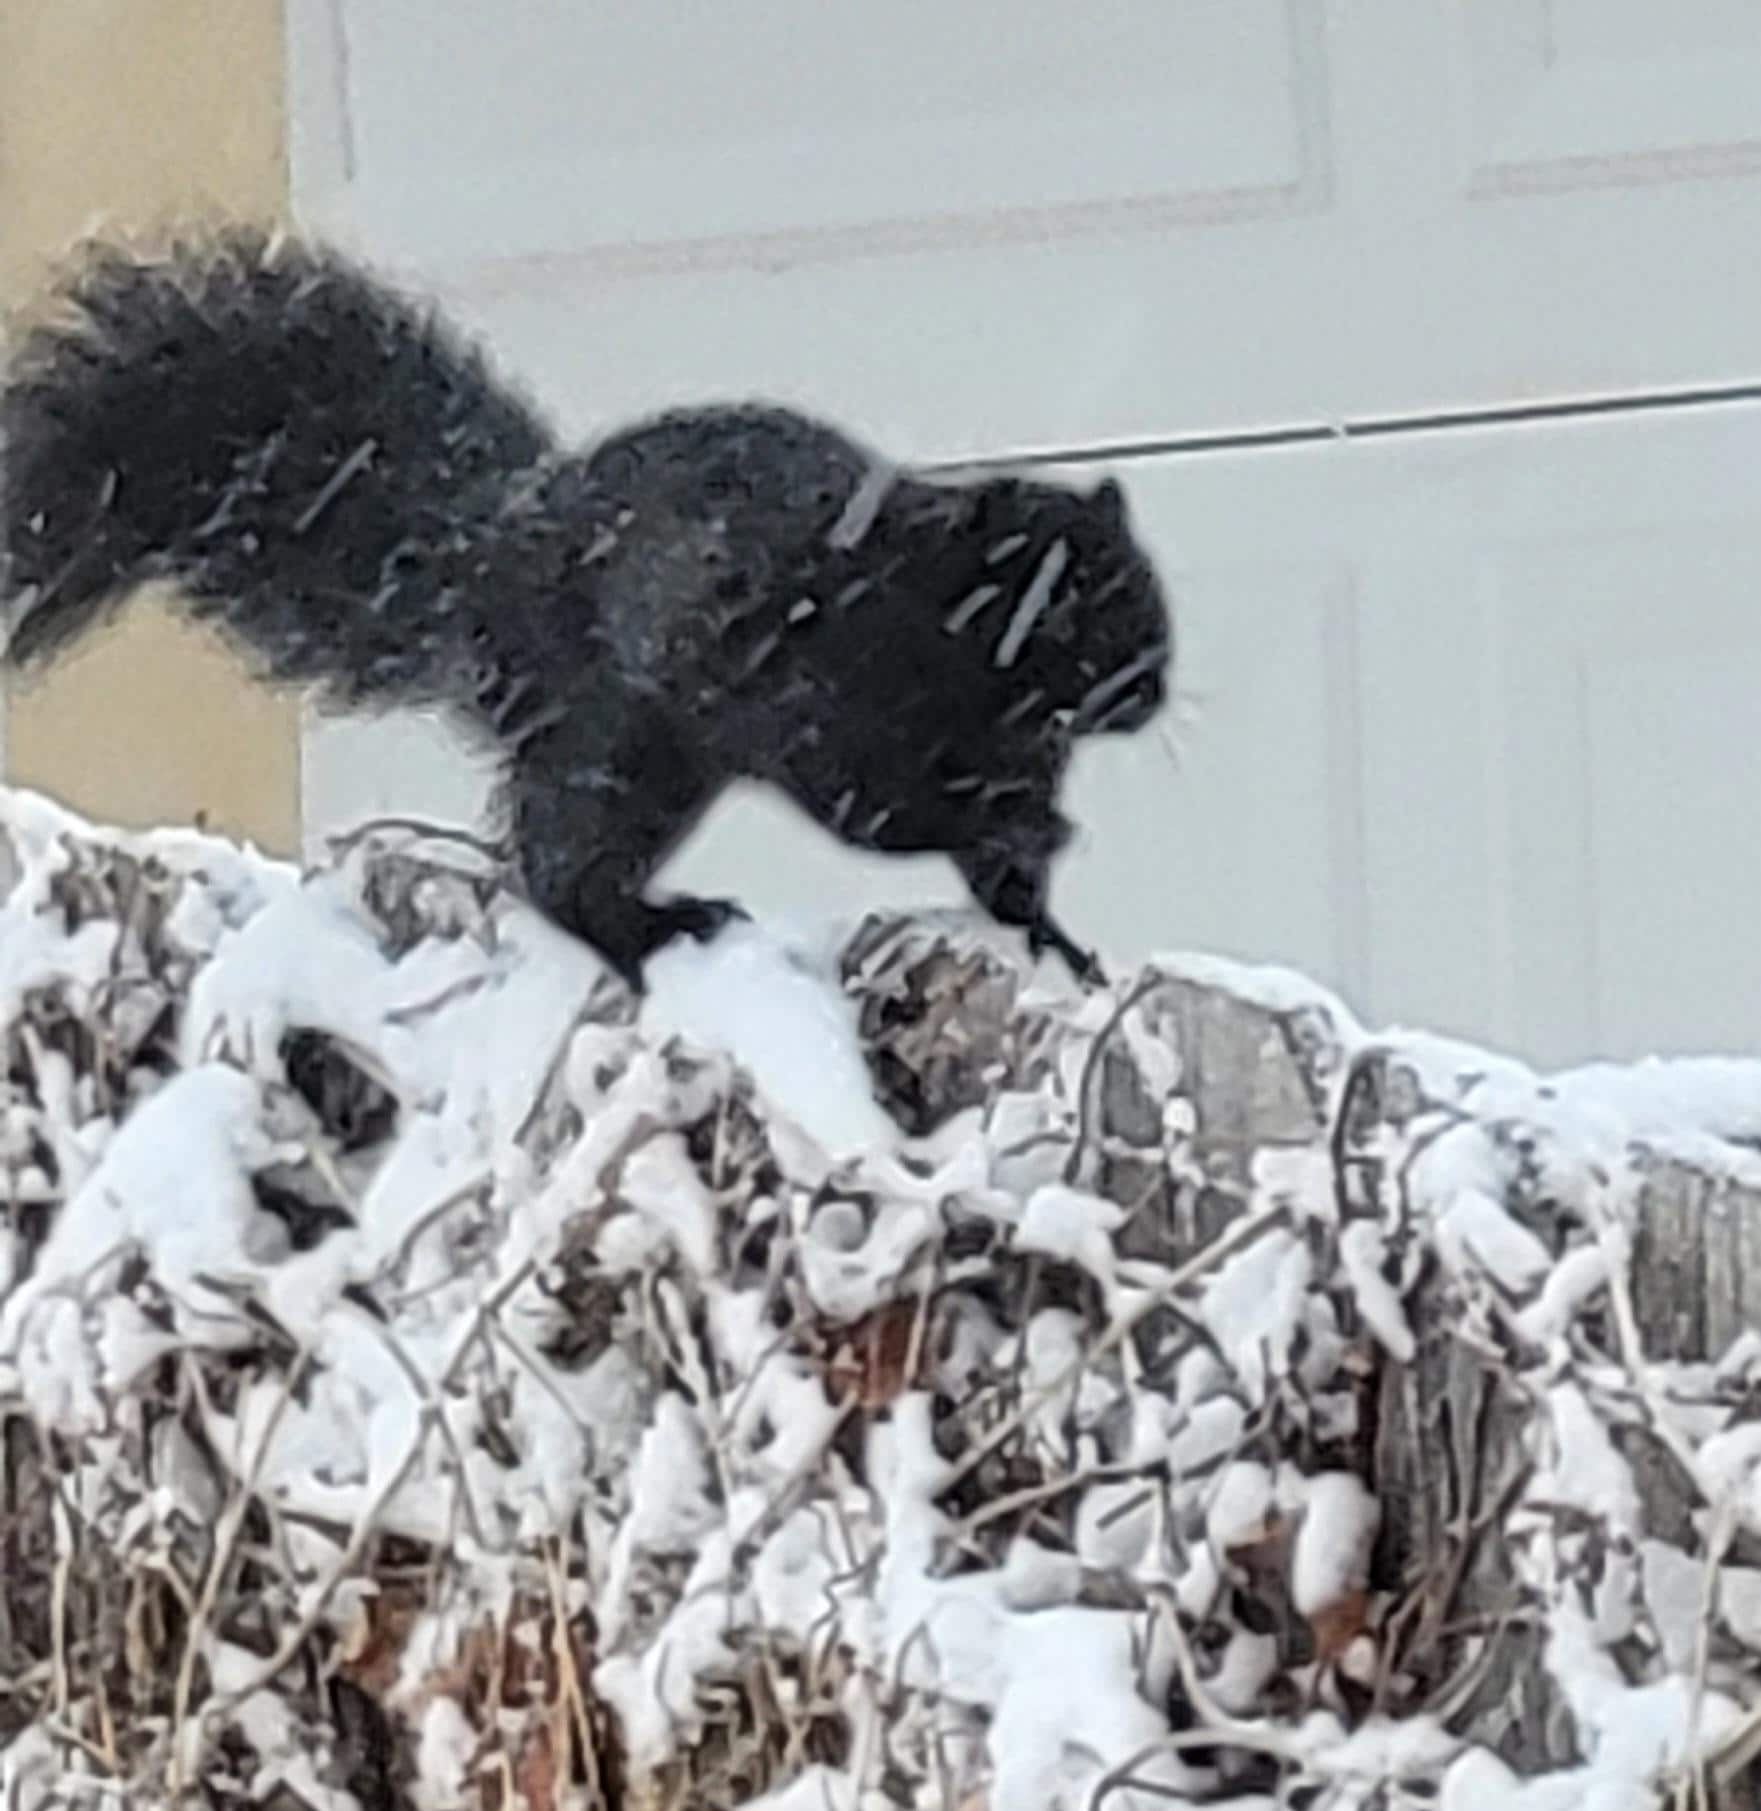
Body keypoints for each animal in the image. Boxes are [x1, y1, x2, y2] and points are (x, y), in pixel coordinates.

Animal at [0, 232, 1172, 988]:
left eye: (1150, 599)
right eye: (1077, 606)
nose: (1153, 690)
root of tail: (491, 555)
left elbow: (1001, 879)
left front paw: (1058, 934)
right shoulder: (822, 704)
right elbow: (886, 811)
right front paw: (1028, 827)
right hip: (620, 744)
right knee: (560, 860)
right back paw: (648, 929)